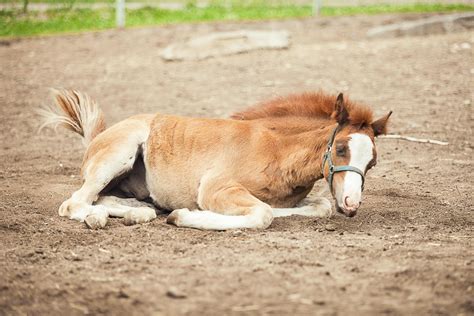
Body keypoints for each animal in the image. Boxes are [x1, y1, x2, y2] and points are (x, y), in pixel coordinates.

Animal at [40, 89, 390, 230]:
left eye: (372, 162)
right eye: (341, 148)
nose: (351, 204)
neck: (275, 149)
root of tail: (96, 138)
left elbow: (317, 207)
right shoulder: (215, 189)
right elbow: (262, 214)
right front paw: (182, 216)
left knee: (103, 198)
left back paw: (137, 212)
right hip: (119, 153)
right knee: (74, 202)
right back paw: (99, 217)